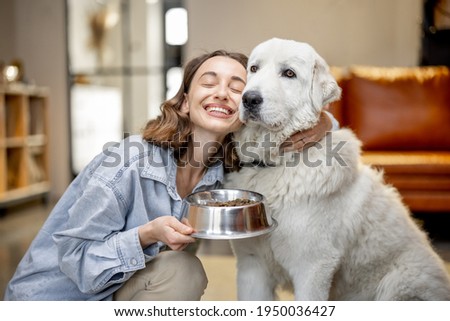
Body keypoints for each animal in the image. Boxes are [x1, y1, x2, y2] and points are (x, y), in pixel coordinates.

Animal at [227, 38, 450, 300]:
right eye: (254, 69)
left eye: (289, 73)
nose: (250, 99)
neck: (276, 161)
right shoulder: (252, 265)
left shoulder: (312, 267)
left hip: (398, 284)